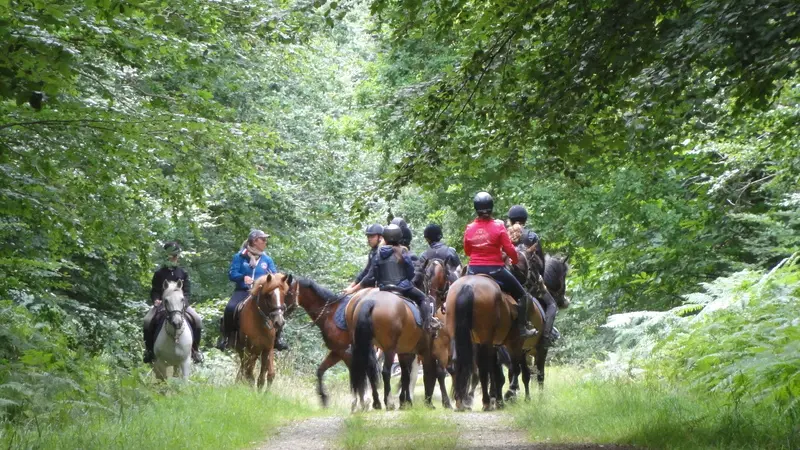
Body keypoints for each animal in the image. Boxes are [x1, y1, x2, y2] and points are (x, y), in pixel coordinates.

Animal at [290, 276, 384, 410]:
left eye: (288, 292)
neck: (329, 313)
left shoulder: (346, 353)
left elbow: (356, 375)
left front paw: (360, 402)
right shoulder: (337, 352)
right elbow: (320, 371)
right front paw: (324, 398)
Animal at [446, 274, 548, 412]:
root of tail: (467, 286)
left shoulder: (492, 345)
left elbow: (497, 373)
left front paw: (500, 399)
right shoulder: (515, 342)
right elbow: (515, 369)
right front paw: (509, 393)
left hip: (457, 337)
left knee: (459, 362)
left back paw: (461, 402)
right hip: (487, 339)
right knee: (484, 368)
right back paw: (486, 402)